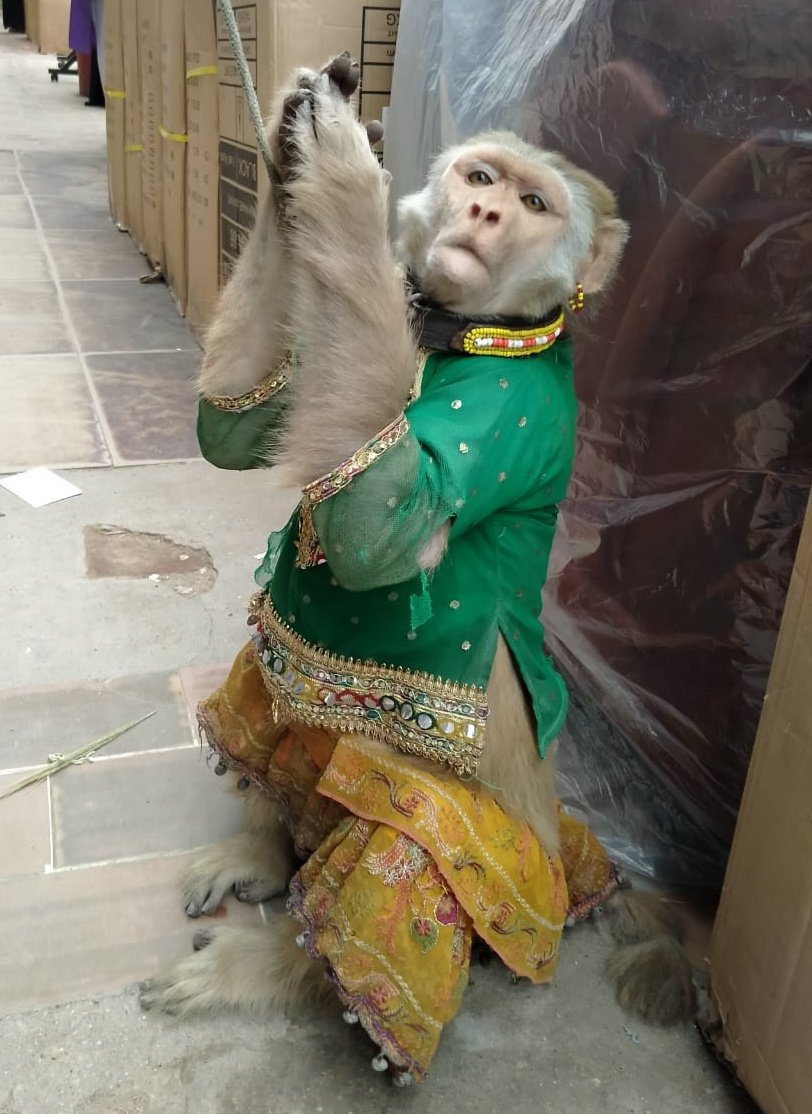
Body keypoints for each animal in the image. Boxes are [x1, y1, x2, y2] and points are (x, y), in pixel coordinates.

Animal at [140, 54, 696, 1083]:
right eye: (481, 178)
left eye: (533, 201)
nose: (483, 213)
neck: (460, 333)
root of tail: (572, 856)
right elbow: (237, 430)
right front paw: (294, 150)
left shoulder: (517, 419)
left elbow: (387, 531)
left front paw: (347, 171)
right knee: (271, 673)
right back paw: (266, 851)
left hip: (511, 886)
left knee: (410, 827)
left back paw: (292, 968)